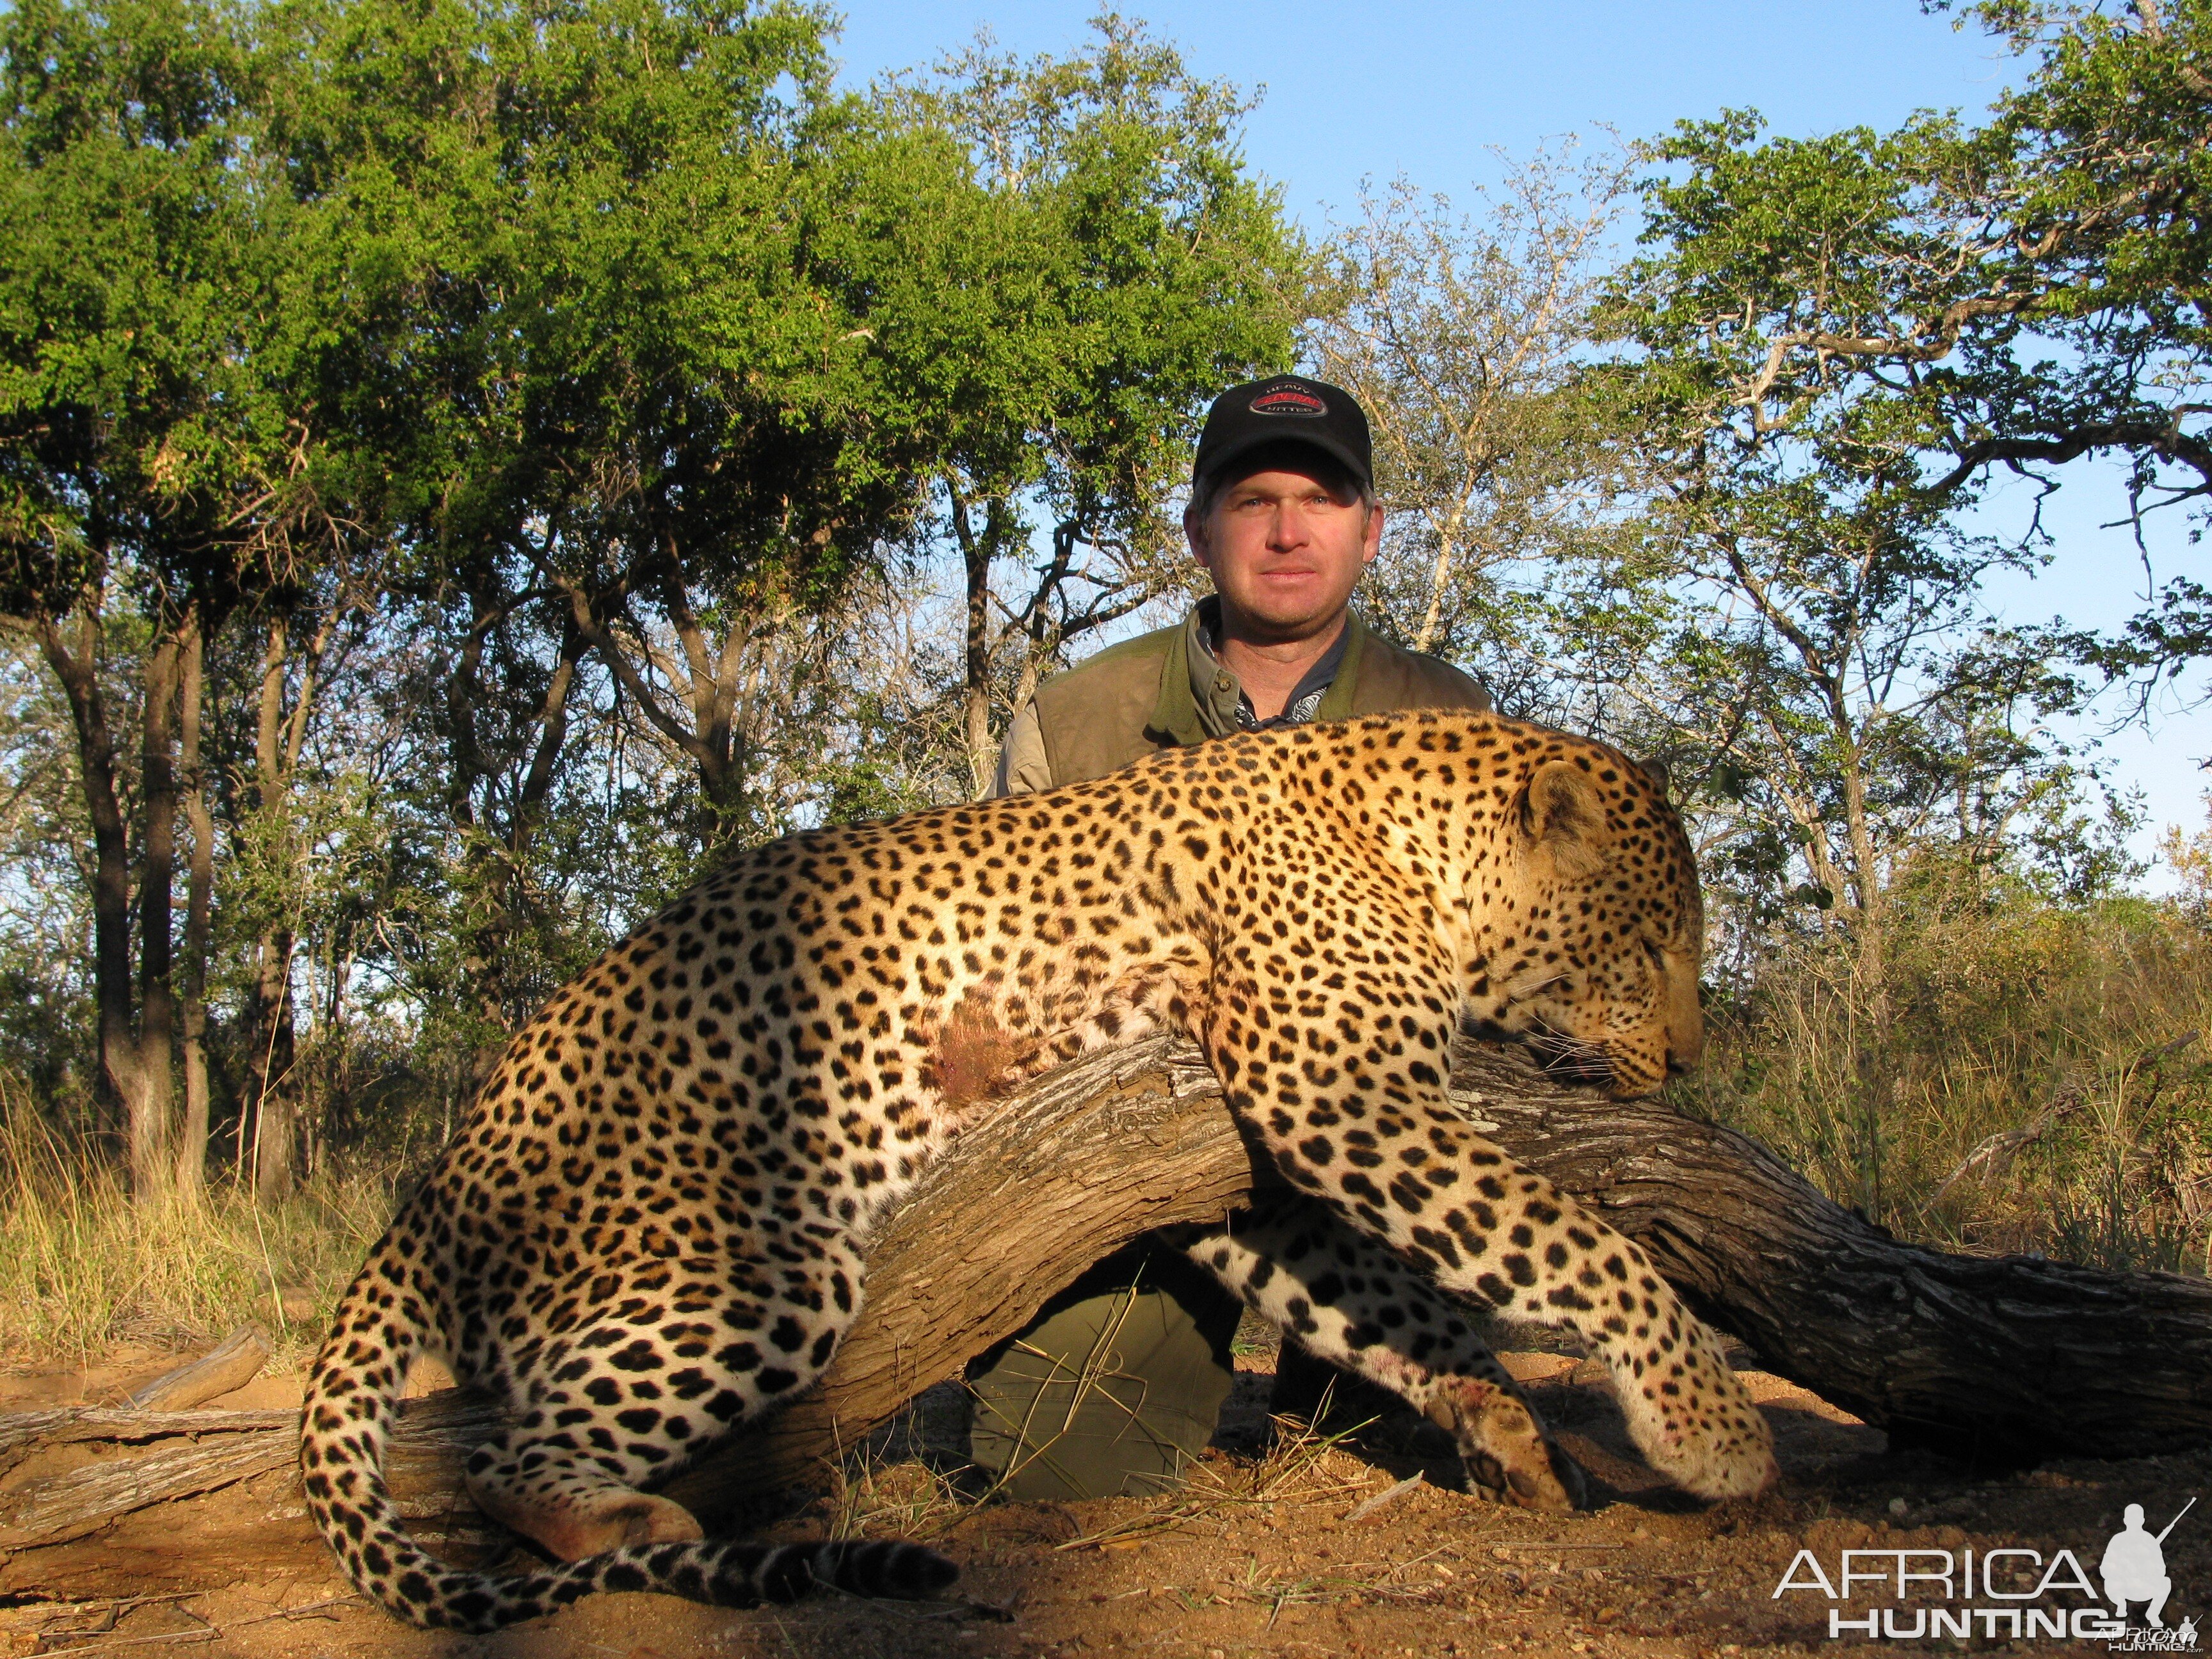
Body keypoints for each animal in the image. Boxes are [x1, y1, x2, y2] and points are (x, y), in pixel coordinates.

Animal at [298, 703, 1778, 1637]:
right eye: (1655, 948)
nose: (1688, 1059)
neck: (1423, 851)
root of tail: (435, 1182)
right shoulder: (1335, 1093)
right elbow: (1574, 1239)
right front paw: (1714, 1430)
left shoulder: (1232, 1161)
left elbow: (1404, 1300)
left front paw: (1506, 1427)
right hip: (756, 1267)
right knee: (505, 1462)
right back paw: (627, 1527)